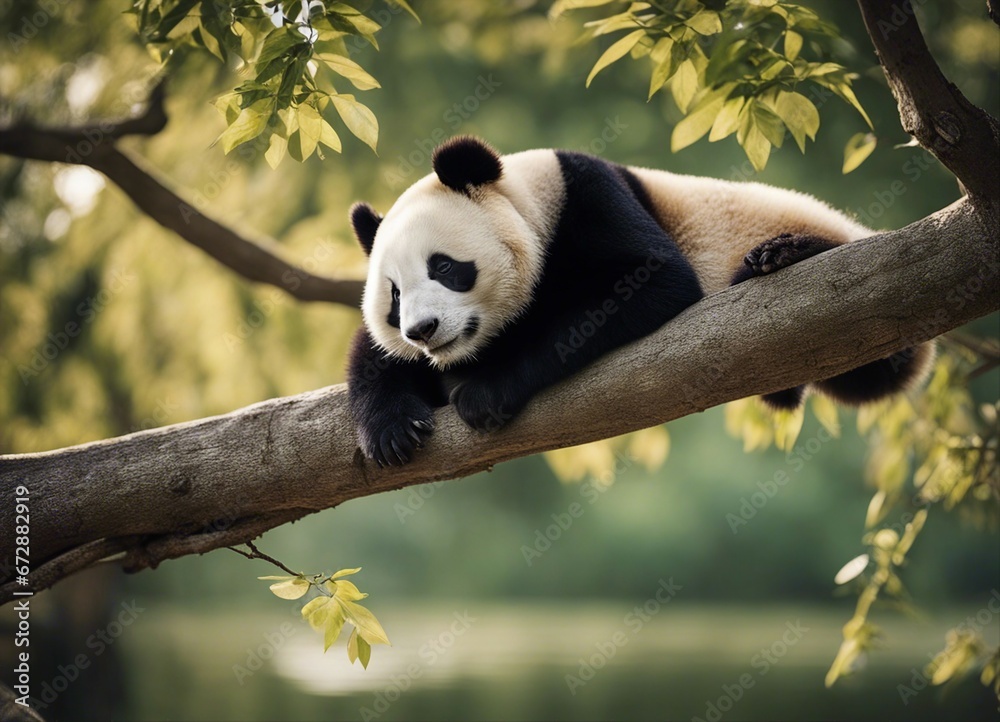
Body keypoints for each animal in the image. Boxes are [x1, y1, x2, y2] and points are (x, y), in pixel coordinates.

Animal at [347, 136, 933, 466]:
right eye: (394, 296)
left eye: (444, 266)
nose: (422, 330)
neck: (526, 198)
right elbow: (372, 356)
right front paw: (392, 429)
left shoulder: (587, 196)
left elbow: (652, 284)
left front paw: (483, 388)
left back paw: (777, 257)